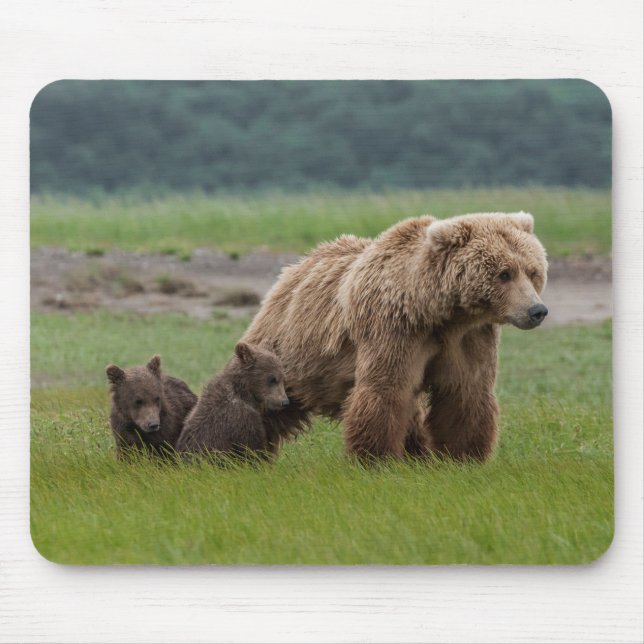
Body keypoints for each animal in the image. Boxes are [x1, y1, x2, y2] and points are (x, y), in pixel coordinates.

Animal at [241, 212, 548, 462]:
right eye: (504, 273)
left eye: (532, 271)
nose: (537, 310)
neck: (436, 311)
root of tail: (295, 267)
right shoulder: (394, 329)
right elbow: (386, 389)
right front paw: (375, 456)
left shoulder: (467, 337)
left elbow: (465, 392)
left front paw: (462, 456)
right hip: (293, 352)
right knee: (270, 391)